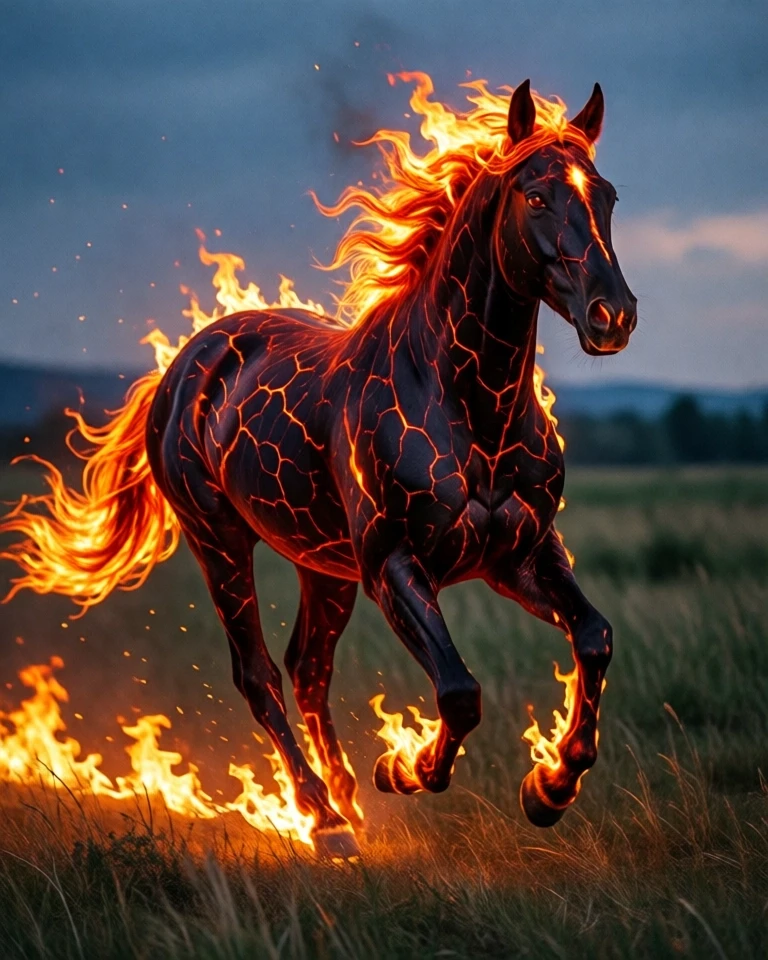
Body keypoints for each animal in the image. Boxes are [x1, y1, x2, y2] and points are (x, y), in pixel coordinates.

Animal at [1, 77, 636, 858]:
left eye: (606, 195)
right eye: (538, 195)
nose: (613, 316)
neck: (470, 409)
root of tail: (184, 366)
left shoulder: (521, 555)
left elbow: (593, 638)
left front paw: (550, 787)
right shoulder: (394, 562)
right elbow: (460, 691)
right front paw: (405, 768)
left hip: (322, 566)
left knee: (308, 668)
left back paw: (345, 801)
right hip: (221, 542)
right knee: (260, 674)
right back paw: (325, 818)